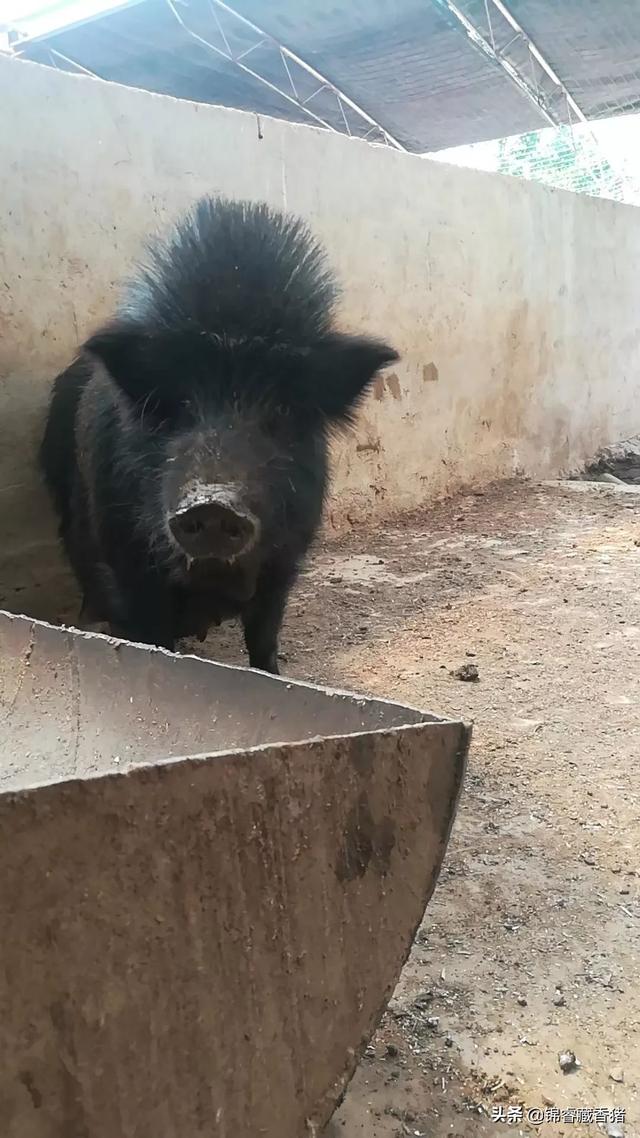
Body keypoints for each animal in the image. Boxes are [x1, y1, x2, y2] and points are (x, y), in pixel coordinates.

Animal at [37, 196, 396, 669]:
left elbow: (264, 637)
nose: (212, 503)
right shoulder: (128, 557)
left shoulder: (285, 559)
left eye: (281, 409)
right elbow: (152, 638)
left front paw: (272, 672)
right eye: (180, 403)